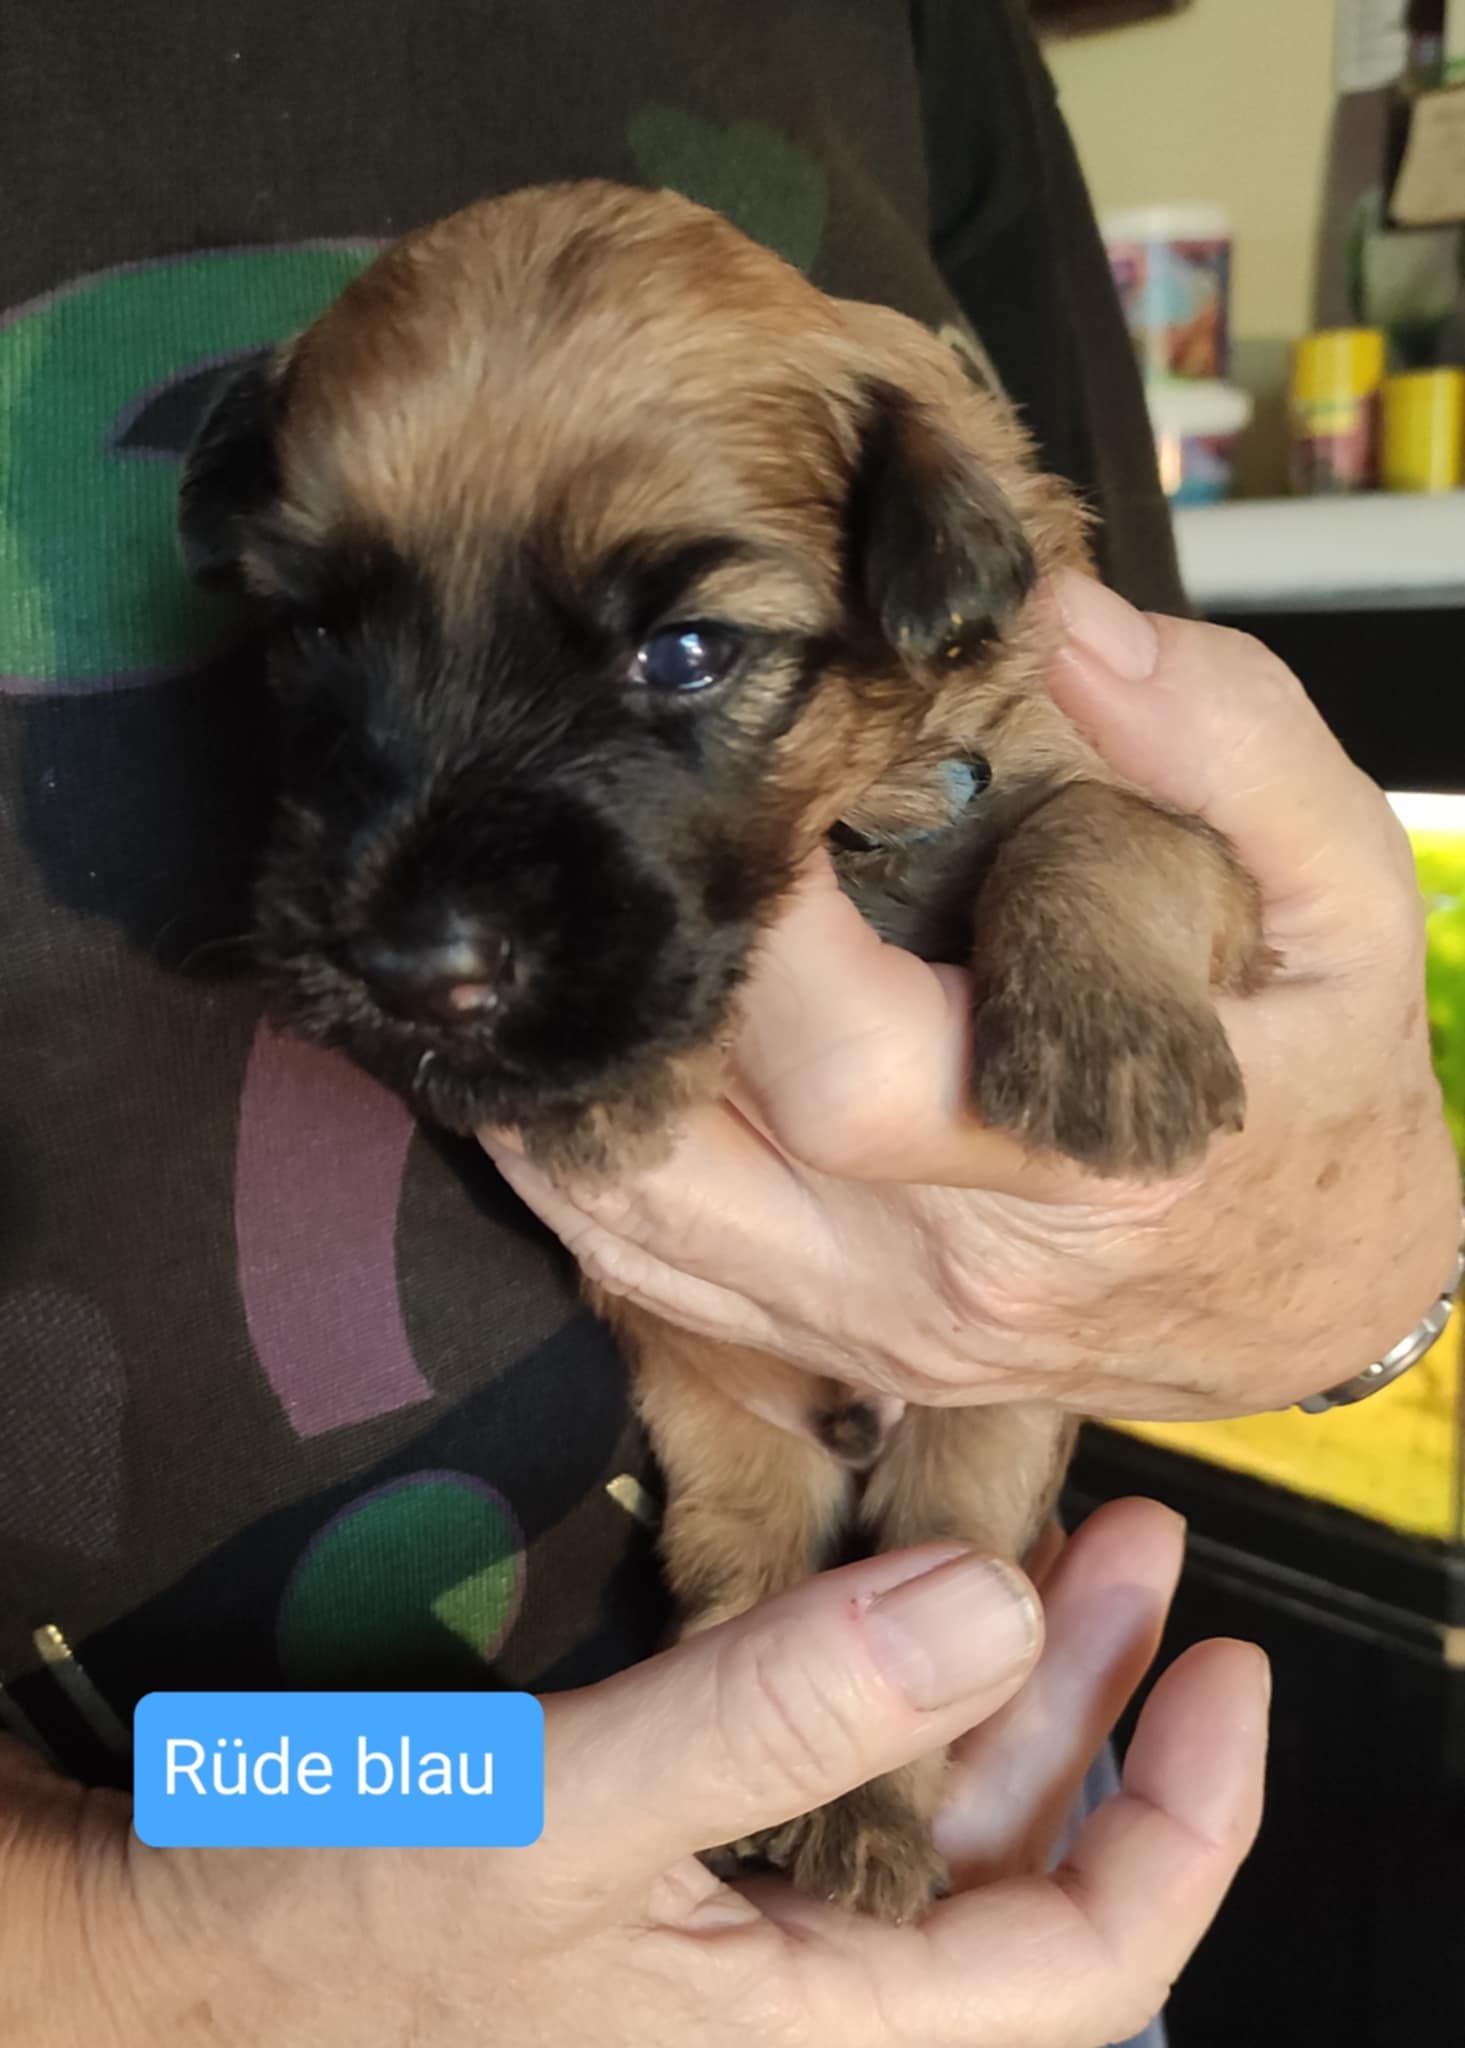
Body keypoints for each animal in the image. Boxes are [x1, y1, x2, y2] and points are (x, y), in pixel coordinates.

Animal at [178, 182, 1270, 1920]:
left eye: (686, 653)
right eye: (318, 631)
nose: (413, 968)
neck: (866, 801)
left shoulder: (1185, 835)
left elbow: (1094, 831)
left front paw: (1107, 1048)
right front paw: (615, 1089)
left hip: (970, 1476)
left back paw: (866, 1836)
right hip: (733, 1459)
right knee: (749, 1583)